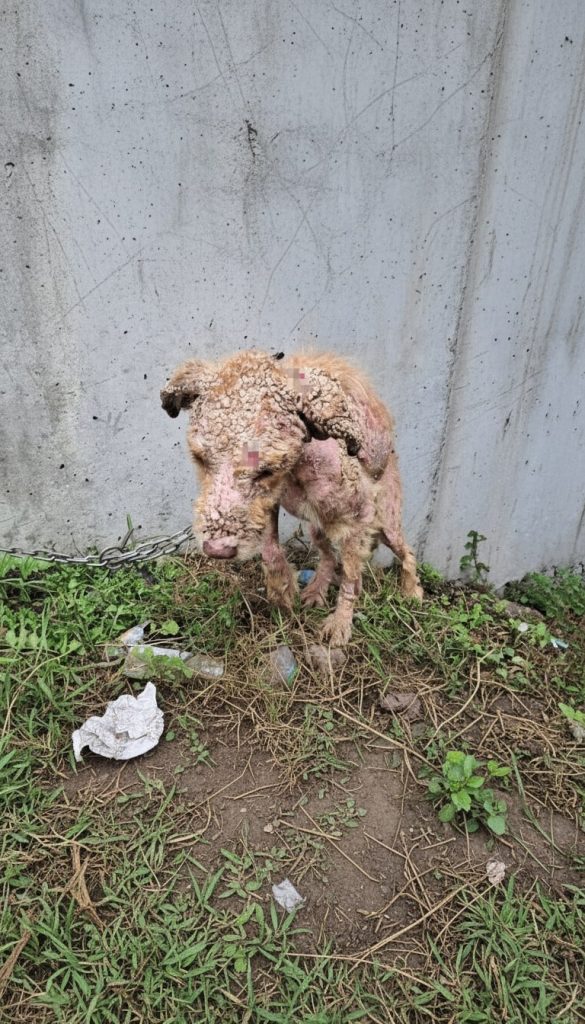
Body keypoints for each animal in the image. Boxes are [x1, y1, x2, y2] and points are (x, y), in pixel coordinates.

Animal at [161, 350, 422, 646]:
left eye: (267, 470)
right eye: (200, 458)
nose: (217, 550)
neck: (298, 468)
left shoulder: (358, 520)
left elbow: (351, 578)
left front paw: (340, 624)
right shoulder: (268, 504)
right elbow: (271, 550)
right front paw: (282, 590)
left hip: (386, 524)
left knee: (406, 553)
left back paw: (412, 591)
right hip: (318, 528)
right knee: (328, 557)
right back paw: (316, 590)